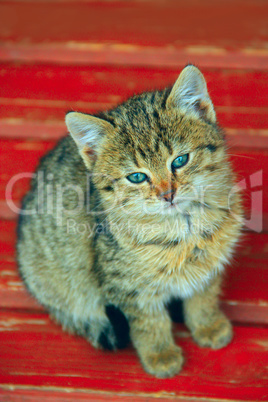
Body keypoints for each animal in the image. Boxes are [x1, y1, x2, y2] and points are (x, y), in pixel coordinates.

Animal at [16, 65, 243, 376]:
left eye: (180, 160)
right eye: (136, 177)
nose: (167, 194)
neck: (186, 226)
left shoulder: (210, 264)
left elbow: (203, 295)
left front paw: (207, 324)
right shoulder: (127, 286)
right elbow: (149, 321)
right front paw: (160, 354)